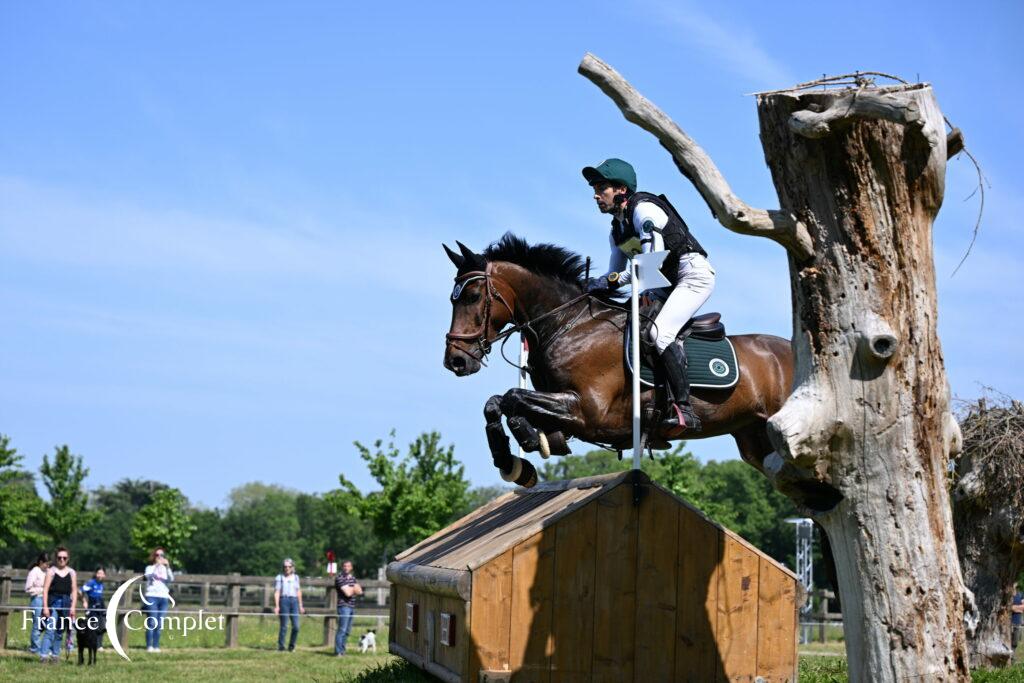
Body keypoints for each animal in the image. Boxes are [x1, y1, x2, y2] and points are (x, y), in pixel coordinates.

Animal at [444, 232, 835, 509]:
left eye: (473, 296)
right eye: (453, 298)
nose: (456, 361)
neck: (569, 325)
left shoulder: (587, 412)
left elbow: (512, 398)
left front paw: (523, 444)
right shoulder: (563, 409)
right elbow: (497, 403)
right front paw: (518, 458)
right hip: (755, 441)